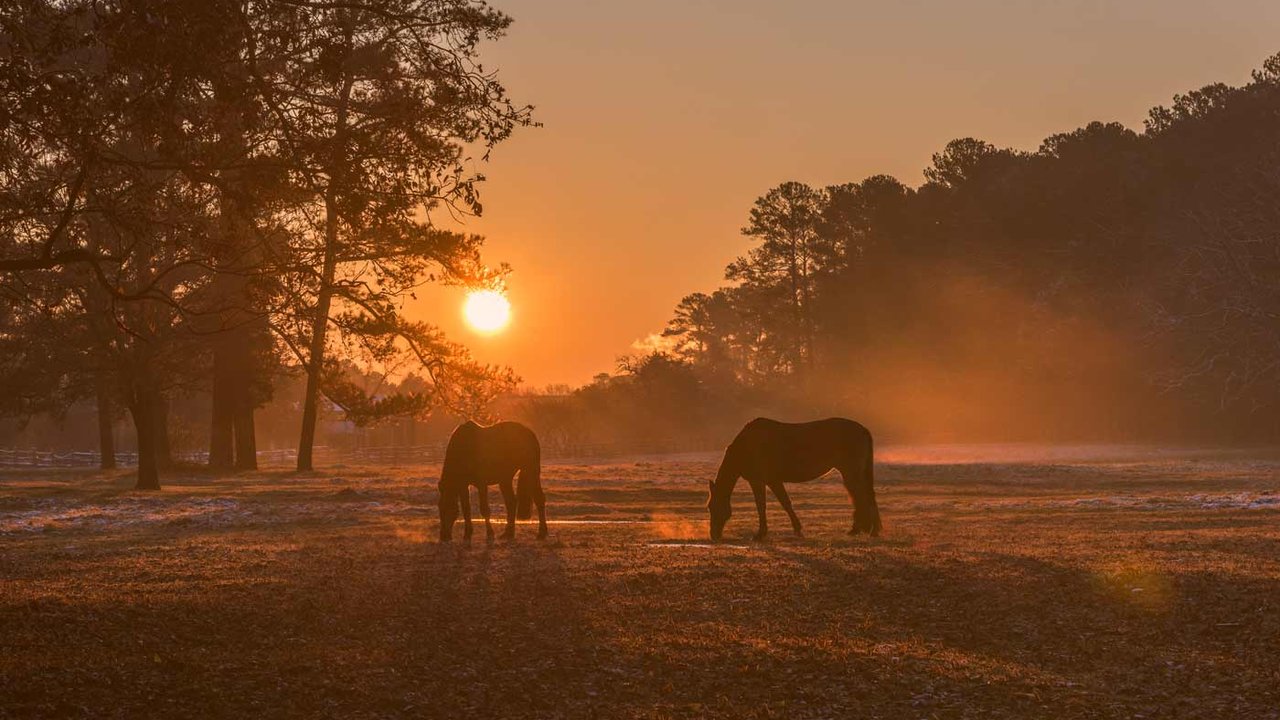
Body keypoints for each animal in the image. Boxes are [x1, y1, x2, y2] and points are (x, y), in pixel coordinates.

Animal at [707, 417, 881, 541]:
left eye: (712, 507)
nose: (714, 536)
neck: (746, 446)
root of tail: (863, 430)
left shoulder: (763, 481)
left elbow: (769, 505)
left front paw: (762, 534)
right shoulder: (767, 481)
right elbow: (777, 504)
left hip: (851, 472)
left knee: (861, 496)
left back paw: (864, 530)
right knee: (865, 495)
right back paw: (869, 530)